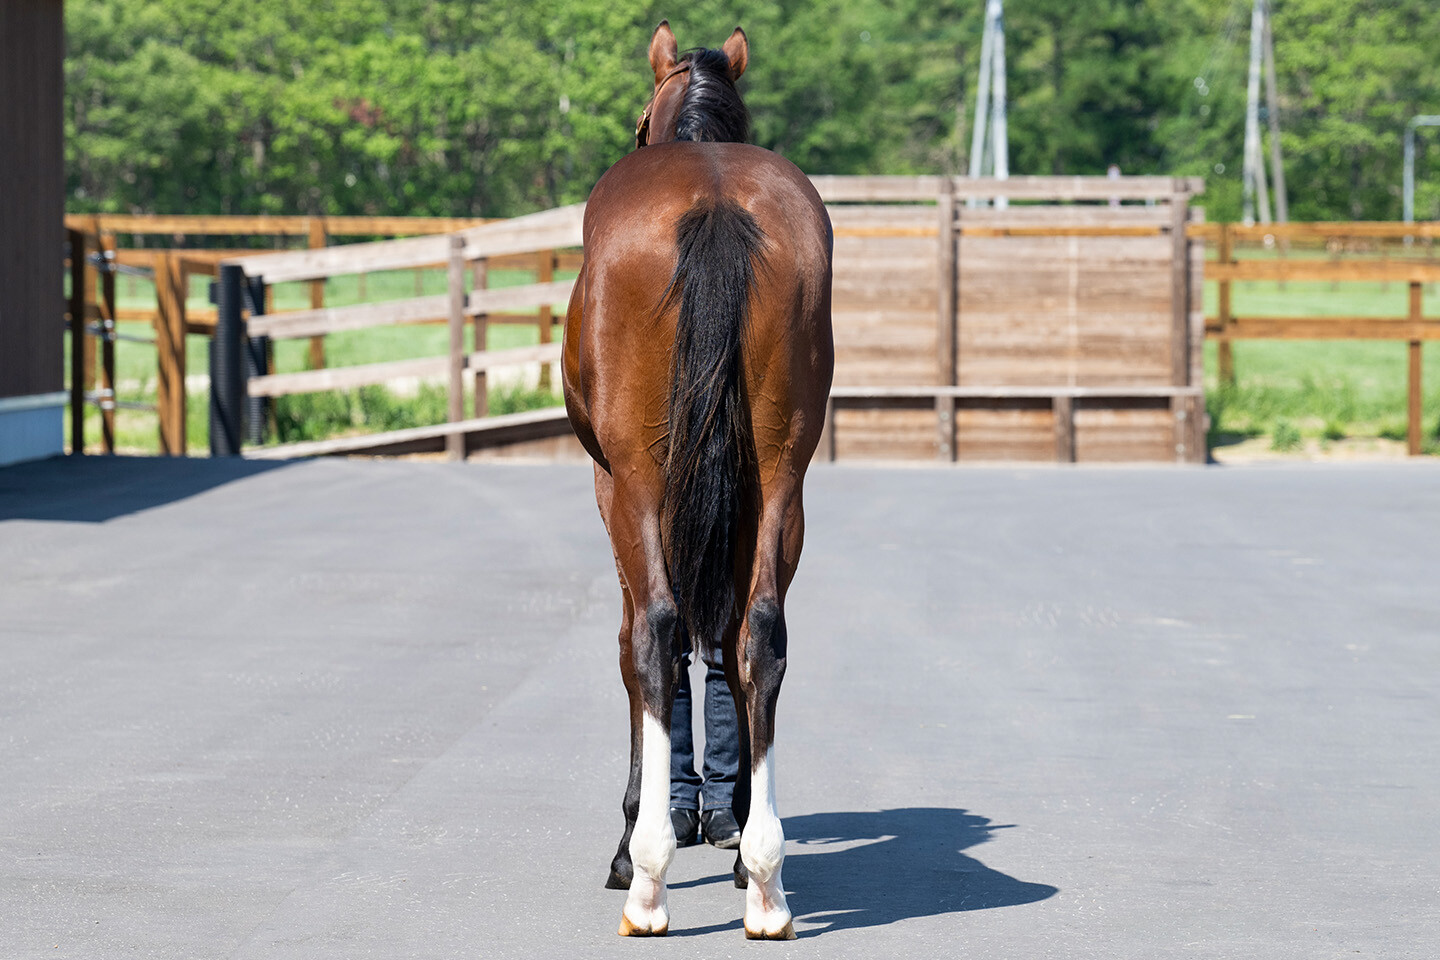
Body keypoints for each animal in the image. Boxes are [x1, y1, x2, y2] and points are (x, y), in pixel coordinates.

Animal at [561, 20, 833, 940]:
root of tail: (715, 203)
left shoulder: (612, 484)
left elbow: (640, 643)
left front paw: (640, 835)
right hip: (781, 480)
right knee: (758, 633)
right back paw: (766, 877)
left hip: (641, 483)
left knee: (655, 631)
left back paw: (646, 879)